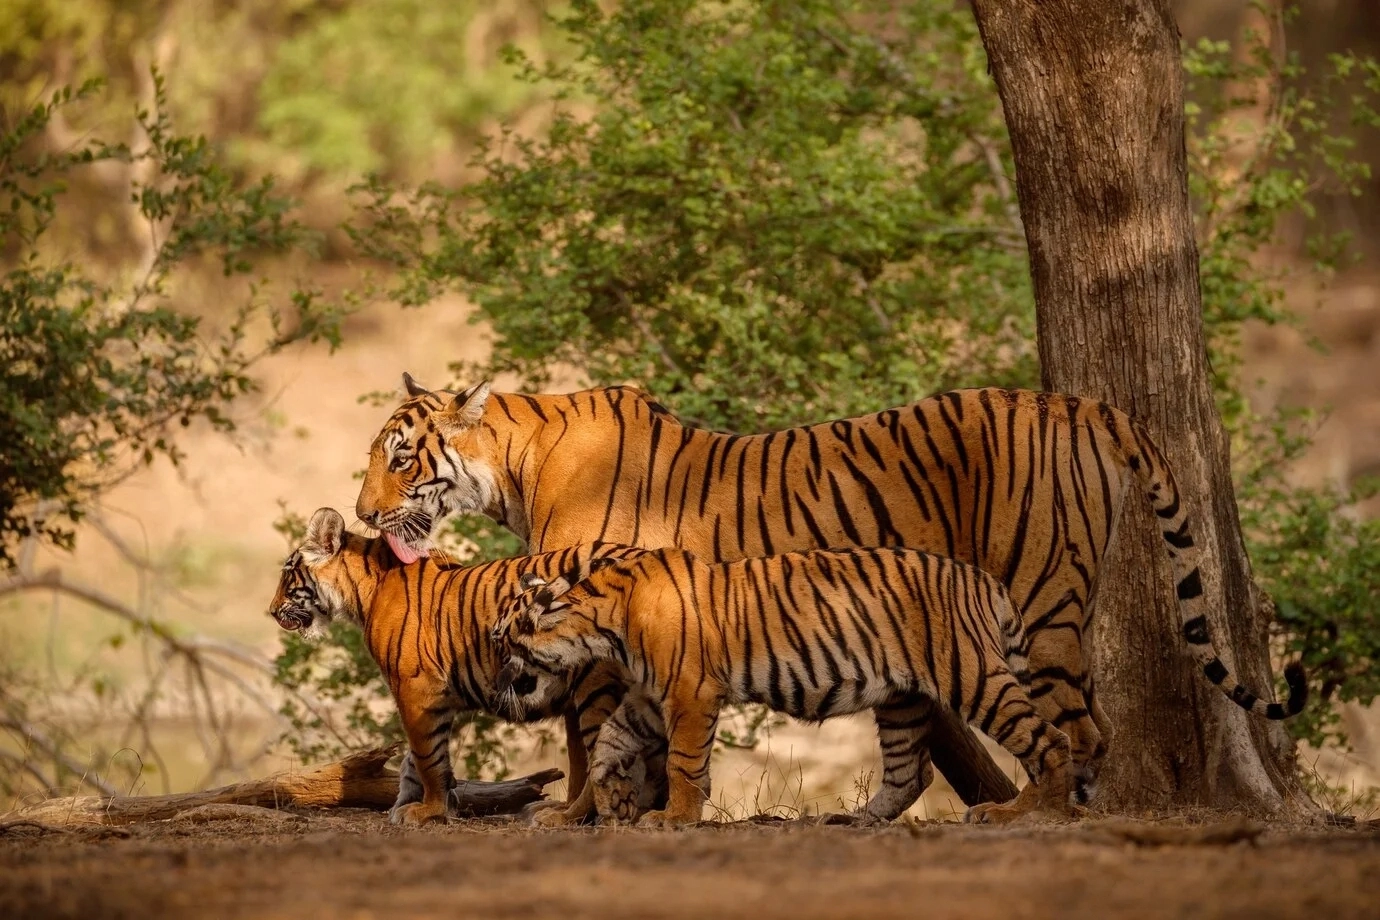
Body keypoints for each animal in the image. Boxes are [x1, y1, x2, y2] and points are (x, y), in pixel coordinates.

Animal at [266, 507, 658, 825]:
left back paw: (566, 817)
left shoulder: (416, 687)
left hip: (595, 687)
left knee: (602, 763)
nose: (270, 611)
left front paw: (429, 810)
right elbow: (416, 759)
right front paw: (415, 806)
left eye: (287, 574)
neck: (364, 590)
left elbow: (428, 757)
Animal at [492, 545, 1078, 827]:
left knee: (1051, 740)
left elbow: (684, 764)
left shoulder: (689, 694)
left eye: (500, 641)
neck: (603, 624)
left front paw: (672, 818)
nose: (497, 686)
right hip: (902, 699)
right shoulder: (648, 698)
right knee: (910, 771)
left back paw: (1025, 812)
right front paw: (587, 810)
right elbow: (607, 747)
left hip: (972, 674)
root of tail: (985, 578)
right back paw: (854, 818)